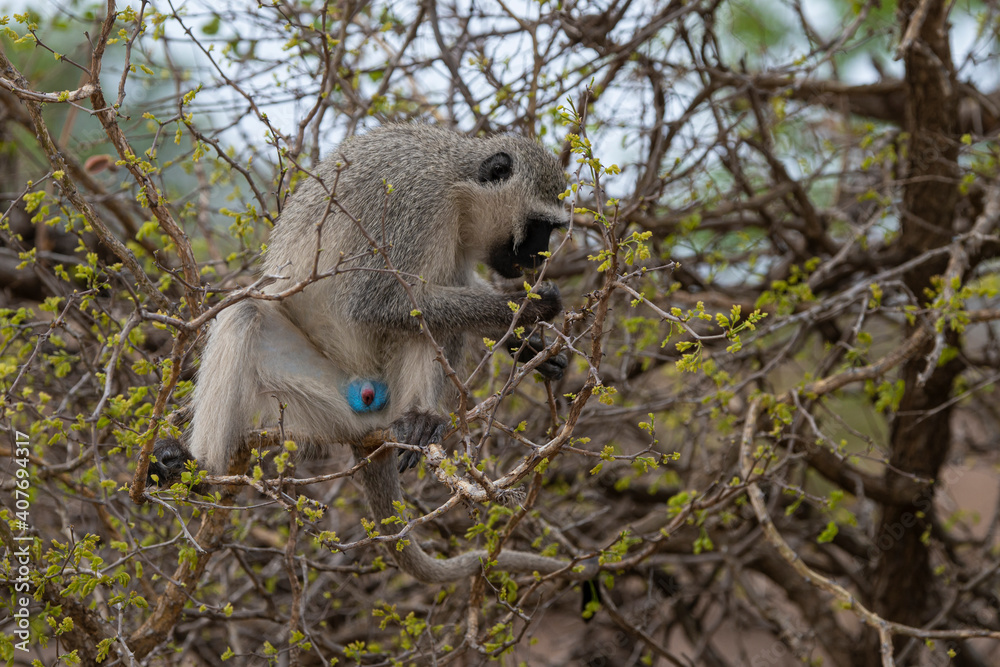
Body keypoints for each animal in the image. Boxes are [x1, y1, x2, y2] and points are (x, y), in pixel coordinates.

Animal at [150, 124, 597, 584]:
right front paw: (529, 307)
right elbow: (379, 304)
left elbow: (432, 297)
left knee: (434, 311)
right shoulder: (414, 204)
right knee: (244, 310)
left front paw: (527, 346)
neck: (457, 186)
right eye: (540, 225)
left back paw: (419, 417)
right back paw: (199, 471)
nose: (540, 256)